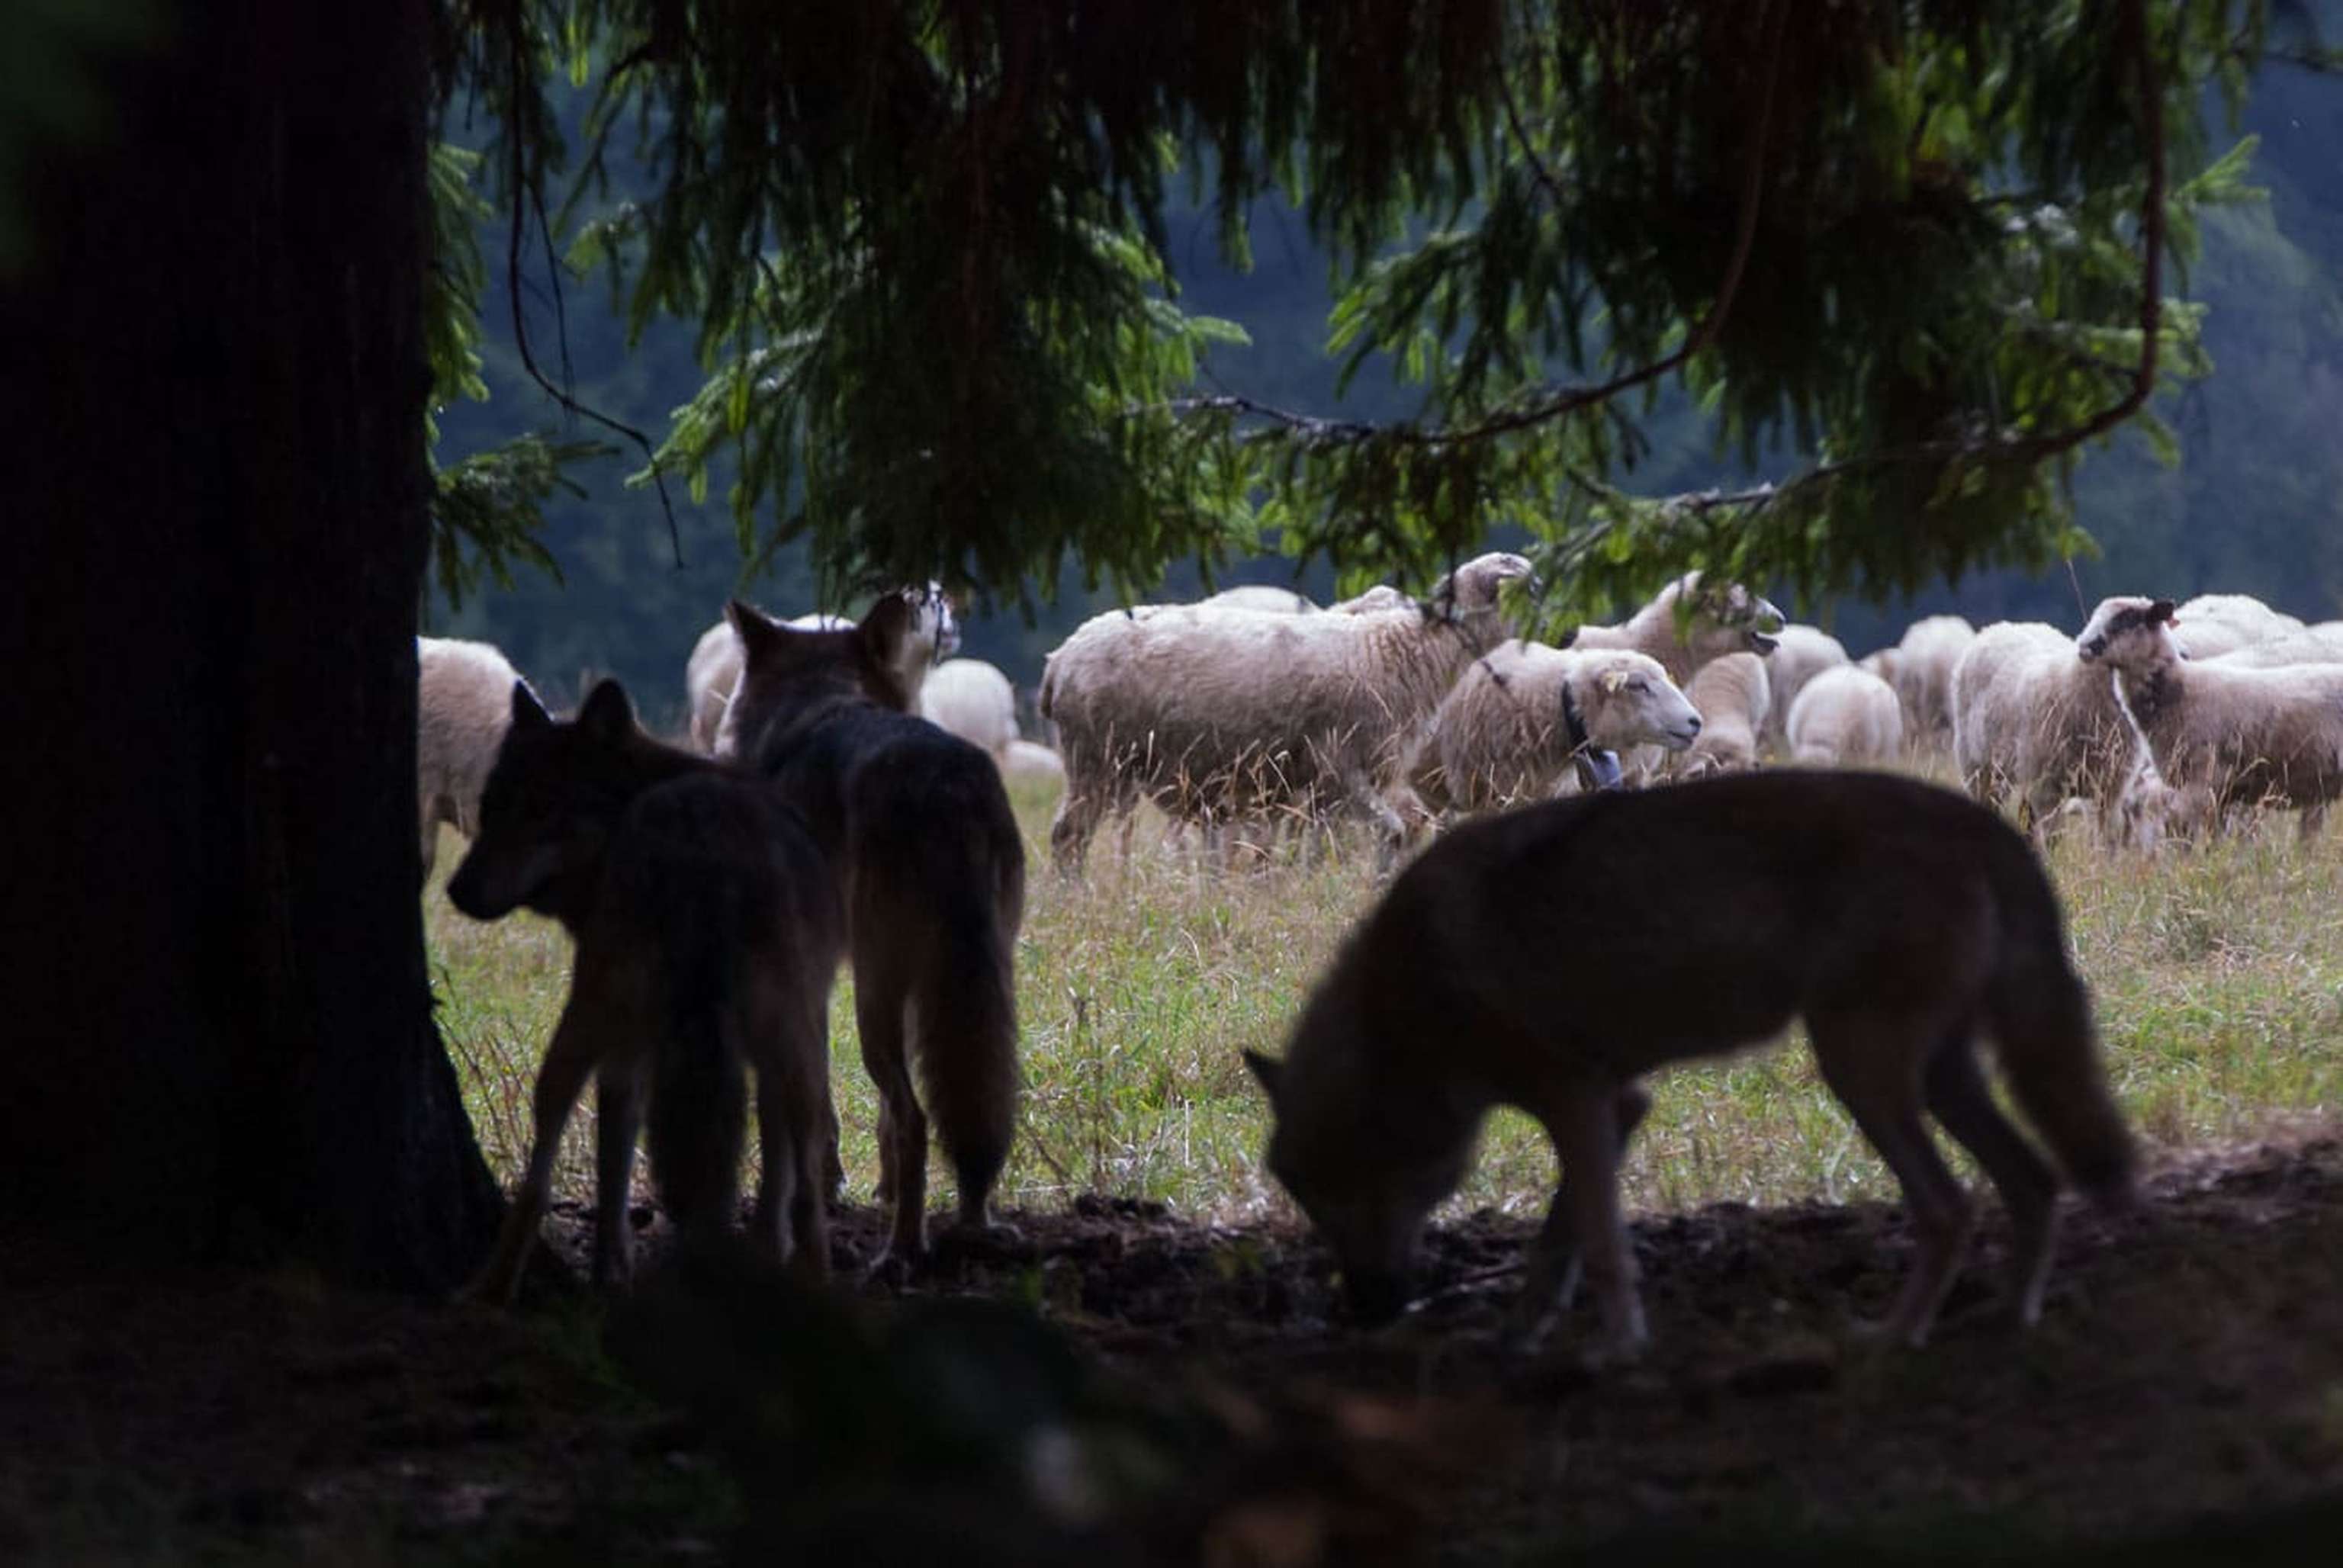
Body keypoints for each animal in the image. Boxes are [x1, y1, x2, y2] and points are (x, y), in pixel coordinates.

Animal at [447, 679, 845, 1303]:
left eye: (538, 810)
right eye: (489, 810)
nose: (456, 891)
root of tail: (700, 834)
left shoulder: (627, 1048)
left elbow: (613, 1160)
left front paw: (612, 1269)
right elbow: (775, 1165)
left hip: (586, 1017)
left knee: (538, 1171)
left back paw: (489, 1287)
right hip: (794, 1048)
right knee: (807, 1186)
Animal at [717, 594, 1026, 1273]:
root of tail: (950, 784)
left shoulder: (800, 979)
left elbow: (803, 1109)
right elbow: (847, 1112)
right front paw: (860, 1190)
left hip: (878, 997)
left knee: (916, 1119)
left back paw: (902, 1250)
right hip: (965, 989)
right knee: (966, 1103)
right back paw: (974, 1225)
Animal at [1246, 769, 2136, 1359]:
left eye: (1343, 1196)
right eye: (1308, 1202)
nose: (1366, 1312)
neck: (1406, 1000)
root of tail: (1978, 821)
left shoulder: (1576, 1102)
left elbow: (1603, 1245)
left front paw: (1618, 1354)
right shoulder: (1618, 1105)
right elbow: (1560, 1243)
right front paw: (1523, 1333)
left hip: (1862, 1073)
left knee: (1953, 1207)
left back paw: (1891, 1336)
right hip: (1938, 1081)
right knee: (2033, 1184)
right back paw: (2008, 1324)